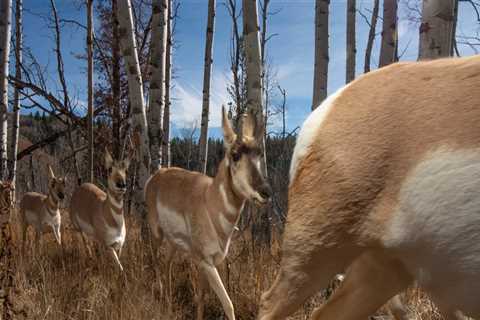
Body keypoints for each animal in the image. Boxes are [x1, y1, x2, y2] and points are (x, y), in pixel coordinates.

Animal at [146, 106, 272, 318]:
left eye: (260, 153)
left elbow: (201, 298)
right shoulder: (206, 262)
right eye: (235, 154)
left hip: (173, 243)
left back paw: (169, 303)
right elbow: (228, 303)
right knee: (155, 263)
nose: (266, 192)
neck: (209, 204)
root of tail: (157, 175)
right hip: (156, 234)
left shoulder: (208, 262)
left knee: (167, 265)